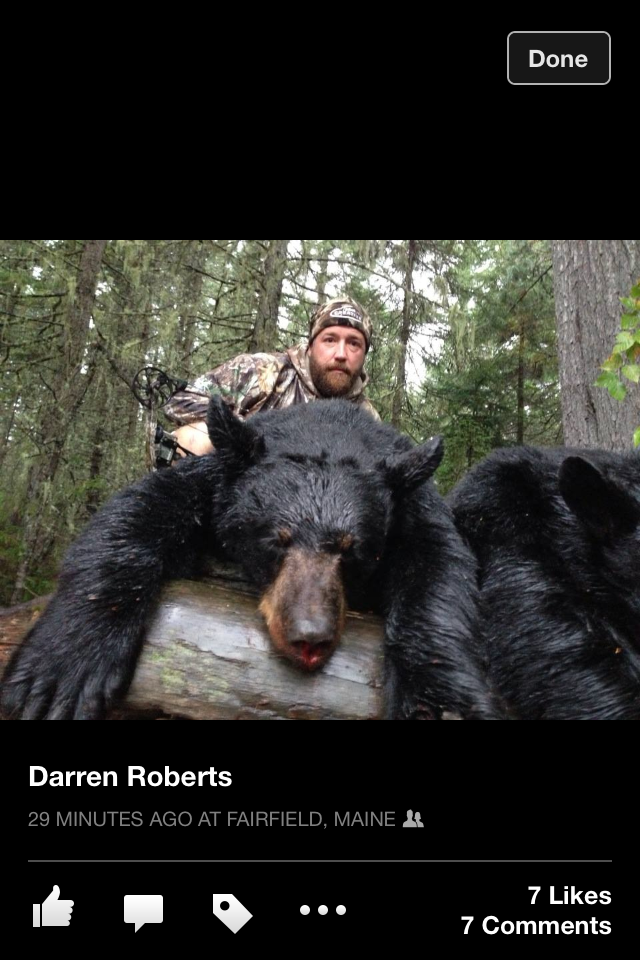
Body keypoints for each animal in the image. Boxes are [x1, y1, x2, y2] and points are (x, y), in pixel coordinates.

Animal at [1, 398, 500, 721]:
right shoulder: (217, 479)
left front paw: (440, 703)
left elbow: (440, 572)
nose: (310, 638)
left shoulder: (415, 508)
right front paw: (61, 669)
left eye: (352, 550)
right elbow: (139, 509)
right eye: (275, 540)